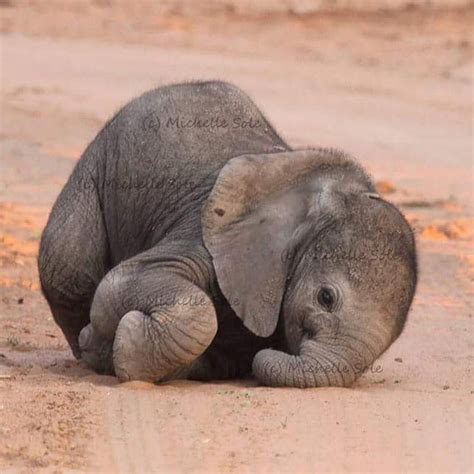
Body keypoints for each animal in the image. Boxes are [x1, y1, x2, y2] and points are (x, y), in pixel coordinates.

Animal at [39, 79, 416, 386]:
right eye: (326, 297)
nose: (280, 352)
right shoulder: (208, 235)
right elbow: (123, 284)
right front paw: (116, 340)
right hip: (93, 170)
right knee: (68, 270)